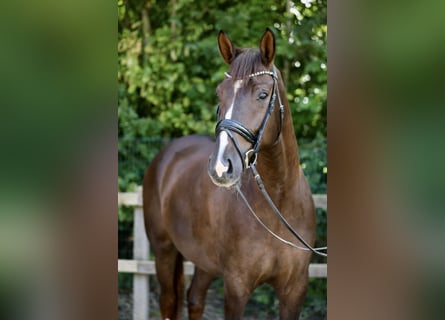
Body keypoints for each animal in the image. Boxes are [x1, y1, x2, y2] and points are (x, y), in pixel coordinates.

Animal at [143, 28, 316, 318]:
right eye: (218, 94)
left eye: (262, 94)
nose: (220, 167)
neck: (279, 202)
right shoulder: (236, 287)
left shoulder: (295, 290)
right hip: (164, 251)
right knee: (169, 301)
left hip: (204, 260)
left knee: (195, 298)